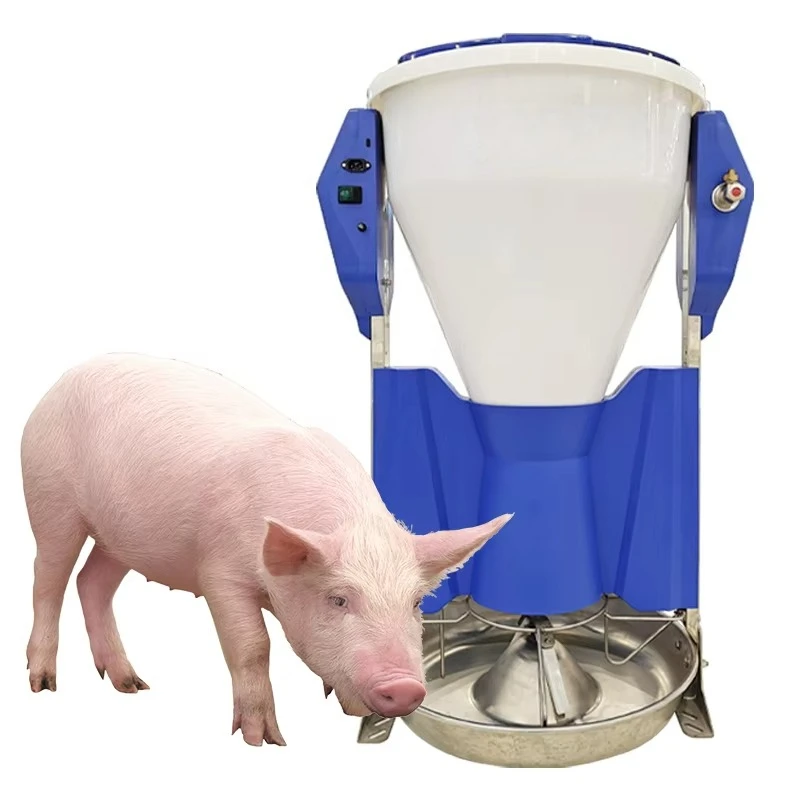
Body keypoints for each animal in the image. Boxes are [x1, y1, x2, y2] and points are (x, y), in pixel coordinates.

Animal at [21, 353, 511, 746]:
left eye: (414, 604)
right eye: (338, 599)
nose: (407, 688)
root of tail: (64, 380)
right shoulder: (219, 573)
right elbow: (253, 645)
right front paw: (265, 740)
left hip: (120, 537)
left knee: (92, 583)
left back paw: (131, 684)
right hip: (50, 498)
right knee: (48, 579)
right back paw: (43, 683)